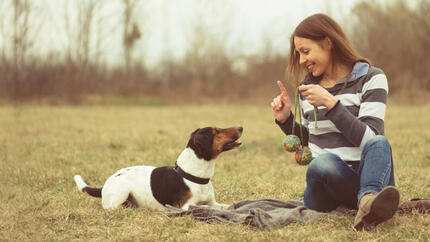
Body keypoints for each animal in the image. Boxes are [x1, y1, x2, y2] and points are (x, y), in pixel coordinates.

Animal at [73, 126, 242, 210]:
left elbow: (225, 207)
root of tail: (104, 186)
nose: (240, 127)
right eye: (217, 131)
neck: (193, 175)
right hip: (121, 193)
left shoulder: (212, 203)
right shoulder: (185, 207)